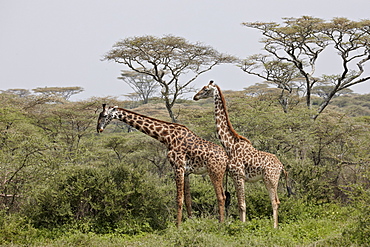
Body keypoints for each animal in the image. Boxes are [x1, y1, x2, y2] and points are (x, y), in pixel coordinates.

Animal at [96, 103, 228, 227]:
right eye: (99, 115)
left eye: (104, 115)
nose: (99, 129)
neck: (166, 137)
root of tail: (226, 158)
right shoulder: (186, 172)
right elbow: (188, 199)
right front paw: (191, 222)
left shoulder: (178, 167)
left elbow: (179, 199)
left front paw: (177, 226)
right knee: (223, 196)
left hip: (214, 172)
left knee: (221, 196)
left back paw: (221, 224)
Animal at [194, 80, 292, 228]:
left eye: (205, 89)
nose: (195, 97)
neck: (230, 145)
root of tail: (281, 166)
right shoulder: (235, 176)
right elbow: (240, 204)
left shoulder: (238, 175)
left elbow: (242, 205)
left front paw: (242, 227)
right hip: (269, 180)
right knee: (276, 201)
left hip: (271, 179)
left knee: (275, 202)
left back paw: (274, 228)